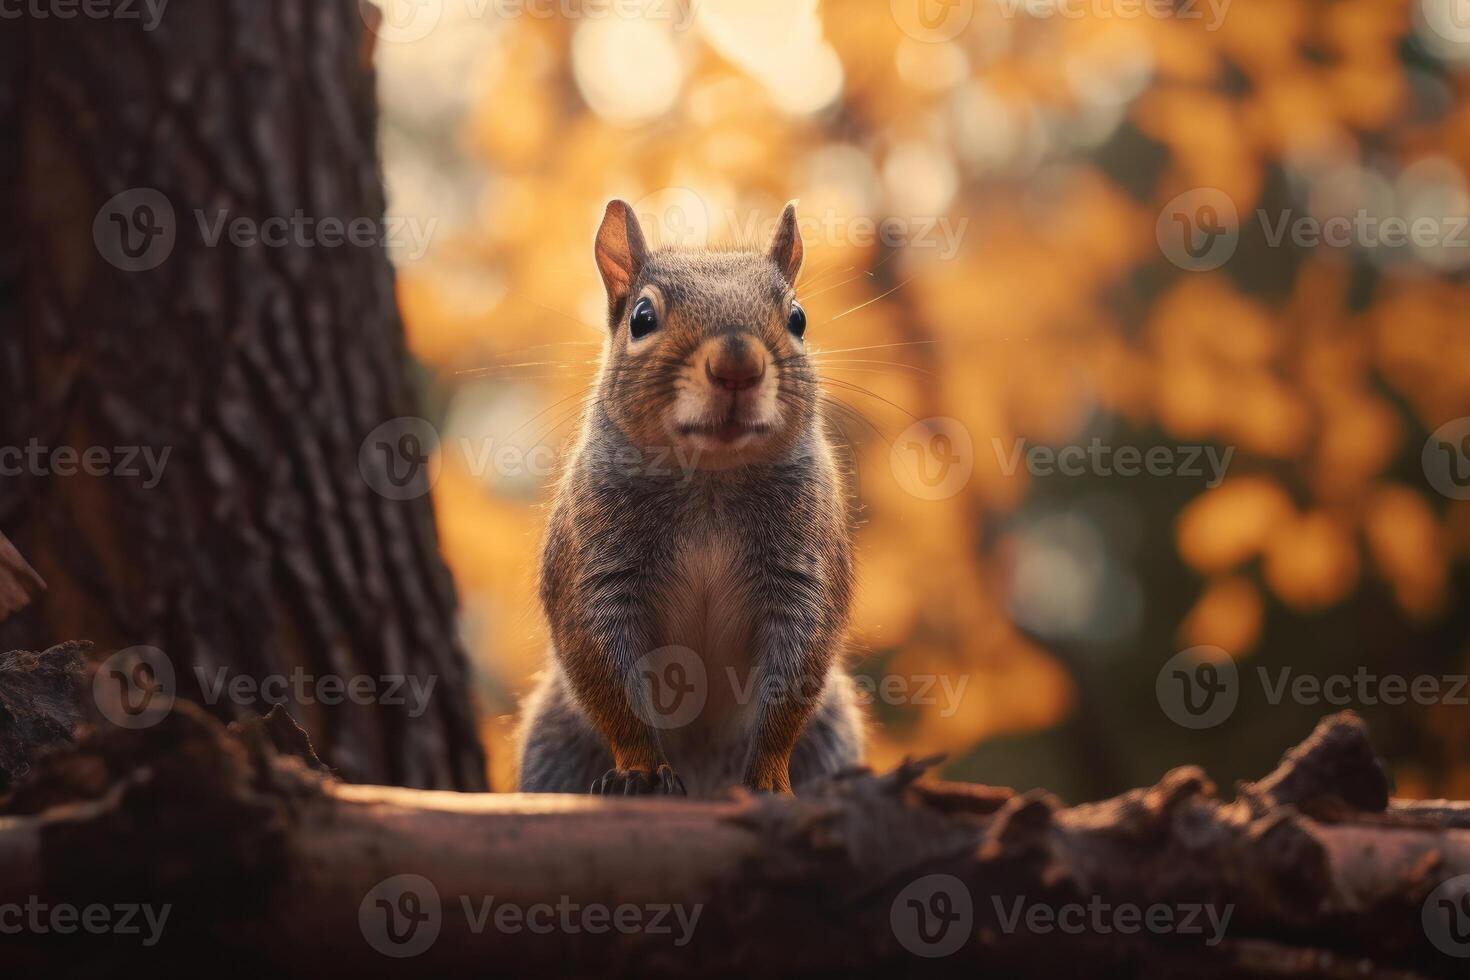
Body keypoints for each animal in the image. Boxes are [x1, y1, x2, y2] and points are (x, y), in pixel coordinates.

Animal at [517, 199, 858, 799]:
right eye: (641, 318)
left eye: (798, 318)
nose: (737, 367)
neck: (709, 480)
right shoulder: (595, 566)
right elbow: (608, 676)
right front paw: (640, 770)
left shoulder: (805, 570)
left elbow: (794, 680)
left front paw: (770, 779)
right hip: (554, 748)